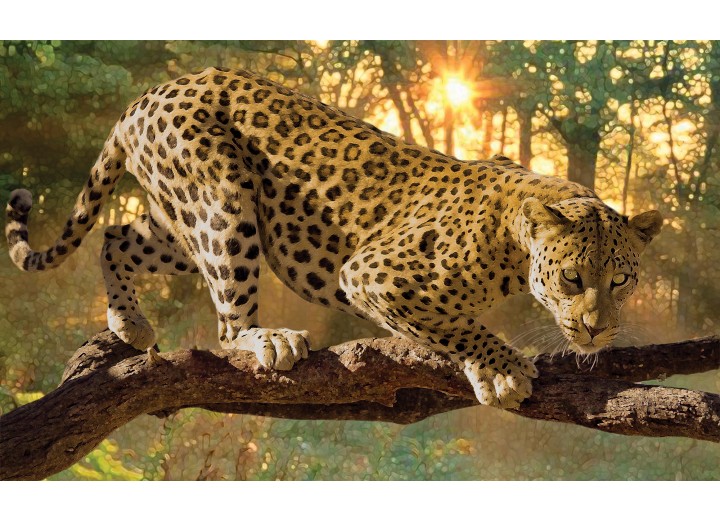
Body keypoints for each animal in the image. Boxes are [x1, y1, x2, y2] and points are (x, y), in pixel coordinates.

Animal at [5, 67, 663, 409]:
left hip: (182, 220)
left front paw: (487, 370)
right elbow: (457, 325)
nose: (596, 330)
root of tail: (147, 94)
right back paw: (268, 340)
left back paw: (129, 323)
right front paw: (499, 369)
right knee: (226, 326)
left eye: (623, 281)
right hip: (224, 204)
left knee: (116, 235)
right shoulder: (373, 274)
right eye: (572, 278)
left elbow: (450, 326)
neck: (515, 241)